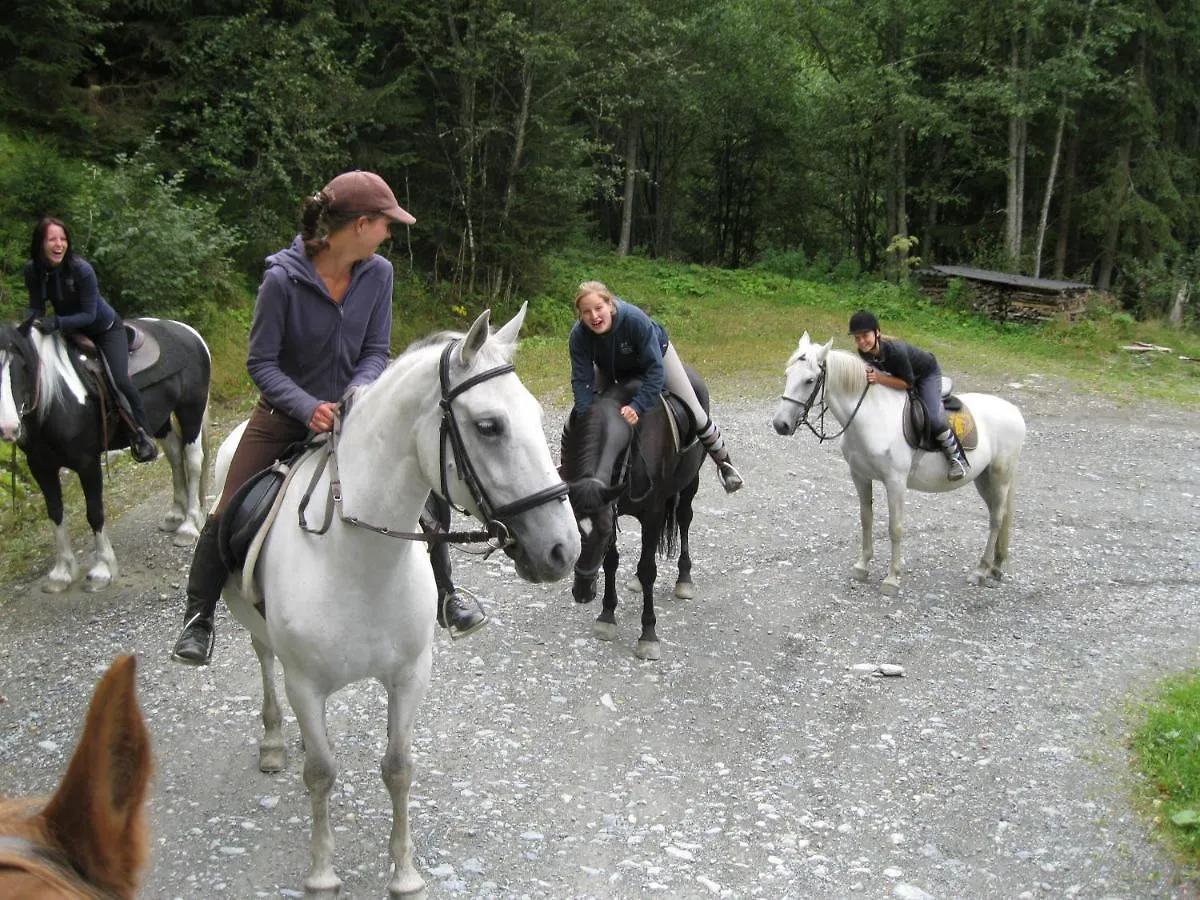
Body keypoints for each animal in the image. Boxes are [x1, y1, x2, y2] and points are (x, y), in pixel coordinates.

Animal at [0, 316, 211, 592]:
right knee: (175, 455)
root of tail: (189, 332)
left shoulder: (87, 462)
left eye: (21, 364)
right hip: (160, 419)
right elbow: (55, 513)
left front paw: (102, 569)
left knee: (194, 460)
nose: (8, 428)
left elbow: (95, 512)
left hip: (191, 410)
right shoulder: (40, 466)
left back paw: (188, 525)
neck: (57, 397)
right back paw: (176, 514)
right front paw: (61, 573)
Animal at [217, 307, 580, 897]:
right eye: (489, 426)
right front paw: (322, 873)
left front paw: (405, 873)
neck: (357, 561)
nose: (563, 549)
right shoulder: (306, 685)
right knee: (264, 659)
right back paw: (273, 740)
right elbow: (321, 774)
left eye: (530, 412)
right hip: (258, 634)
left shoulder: (411, 676)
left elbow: (398, 768)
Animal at [556, 369, 705, 657]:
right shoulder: (611, 507)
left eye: (601, 535)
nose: (582, 593)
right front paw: (606, 616)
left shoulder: (652, 514)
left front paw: (648, 635)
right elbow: (611, 562)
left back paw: (684, 579)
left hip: (689, 482)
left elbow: (648, 569)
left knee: (684, 518)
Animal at [772, 336, 1027, 595]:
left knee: (997, 519)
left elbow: (895, 528)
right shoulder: (860, 476)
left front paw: (892, 578)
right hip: (983, 479)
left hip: (1000, 476)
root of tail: (1014, 411)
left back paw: (980, 570)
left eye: (809, 380)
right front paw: (862, 566)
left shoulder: (895, 482)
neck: (871, 416)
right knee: (997, 515)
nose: (780, 424)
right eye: (787, 374)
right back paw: (995, 566)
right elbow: (866, 519)